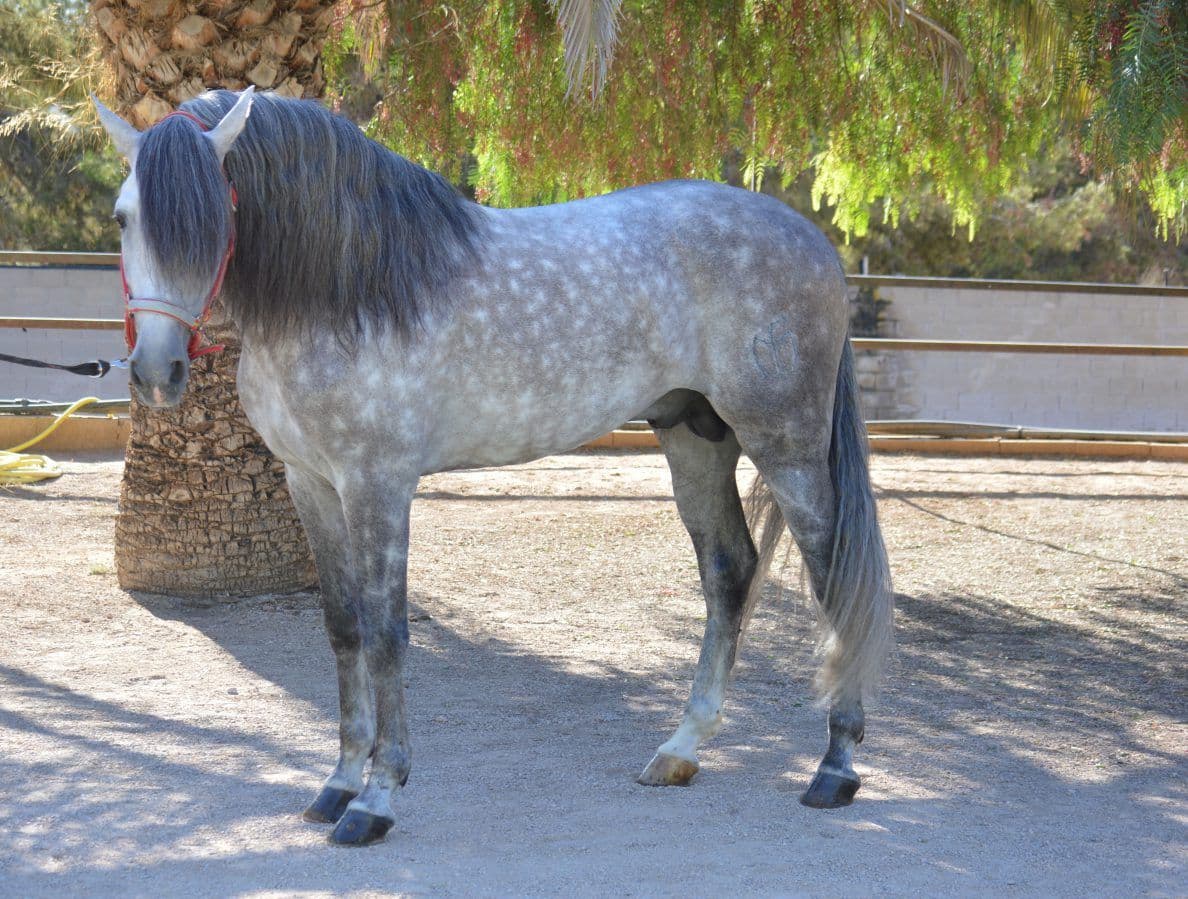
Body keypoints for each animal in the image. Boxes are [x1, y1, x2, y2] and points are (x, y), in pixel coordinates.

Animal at [94, 87, 894, 846]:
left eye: (211, 222)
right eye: (124, 218)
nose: (157, 374)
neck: (350, 289)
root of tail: (810, 240)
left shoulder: (377, 484)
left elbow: (387, 633)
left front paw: (377, 799)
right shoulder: (310, 483)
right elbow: (344, 627)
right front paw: (337, 784)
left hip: (786, 445)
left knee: (833, 576)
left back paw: (835, 767)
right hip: (694, 438)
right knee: (729, 571)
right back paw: (679, 750)